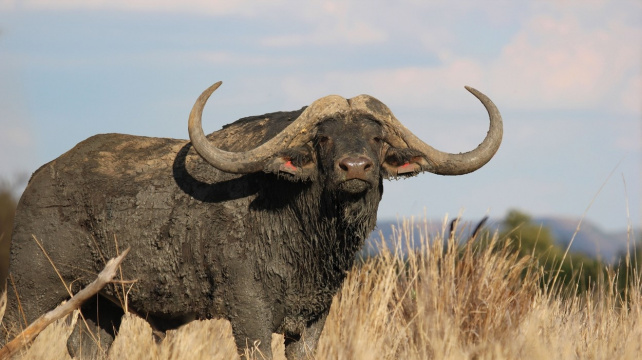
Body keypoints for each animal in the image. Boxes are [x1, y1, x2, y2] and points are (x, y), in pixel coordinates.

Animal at [0, 82, 502, 360]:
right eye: (323, 137)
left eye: (377, 138)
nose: (356, 168)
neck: (305, 234)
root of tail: (41, 177)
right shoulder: (249, 317)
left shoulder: (312, 322)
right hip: (31, 290)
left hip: (101, 304)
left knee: (83, 346)